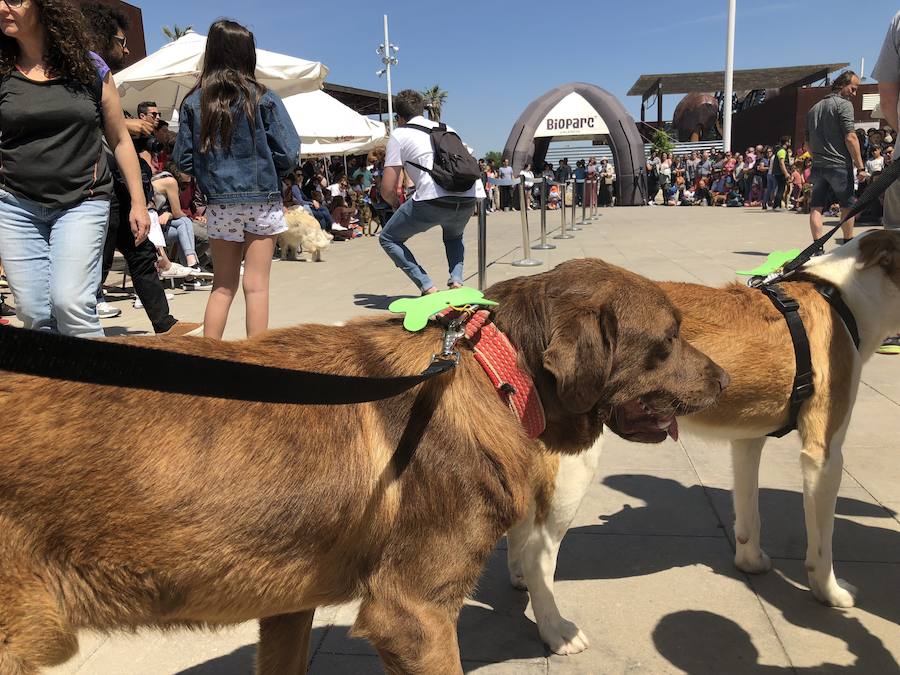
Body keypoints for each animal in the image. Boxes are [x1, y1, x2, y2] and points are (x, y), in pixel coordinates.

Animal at [510, 231, 900, 656]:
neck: (842, 294)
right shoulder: (823, 456)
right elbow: (822, 544)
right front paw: (829, 592)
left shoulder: (747, 440)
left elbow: (749, 511)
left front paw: (750, 560)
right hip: (572, 466)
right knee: (537, 553)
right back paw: (555, 630)